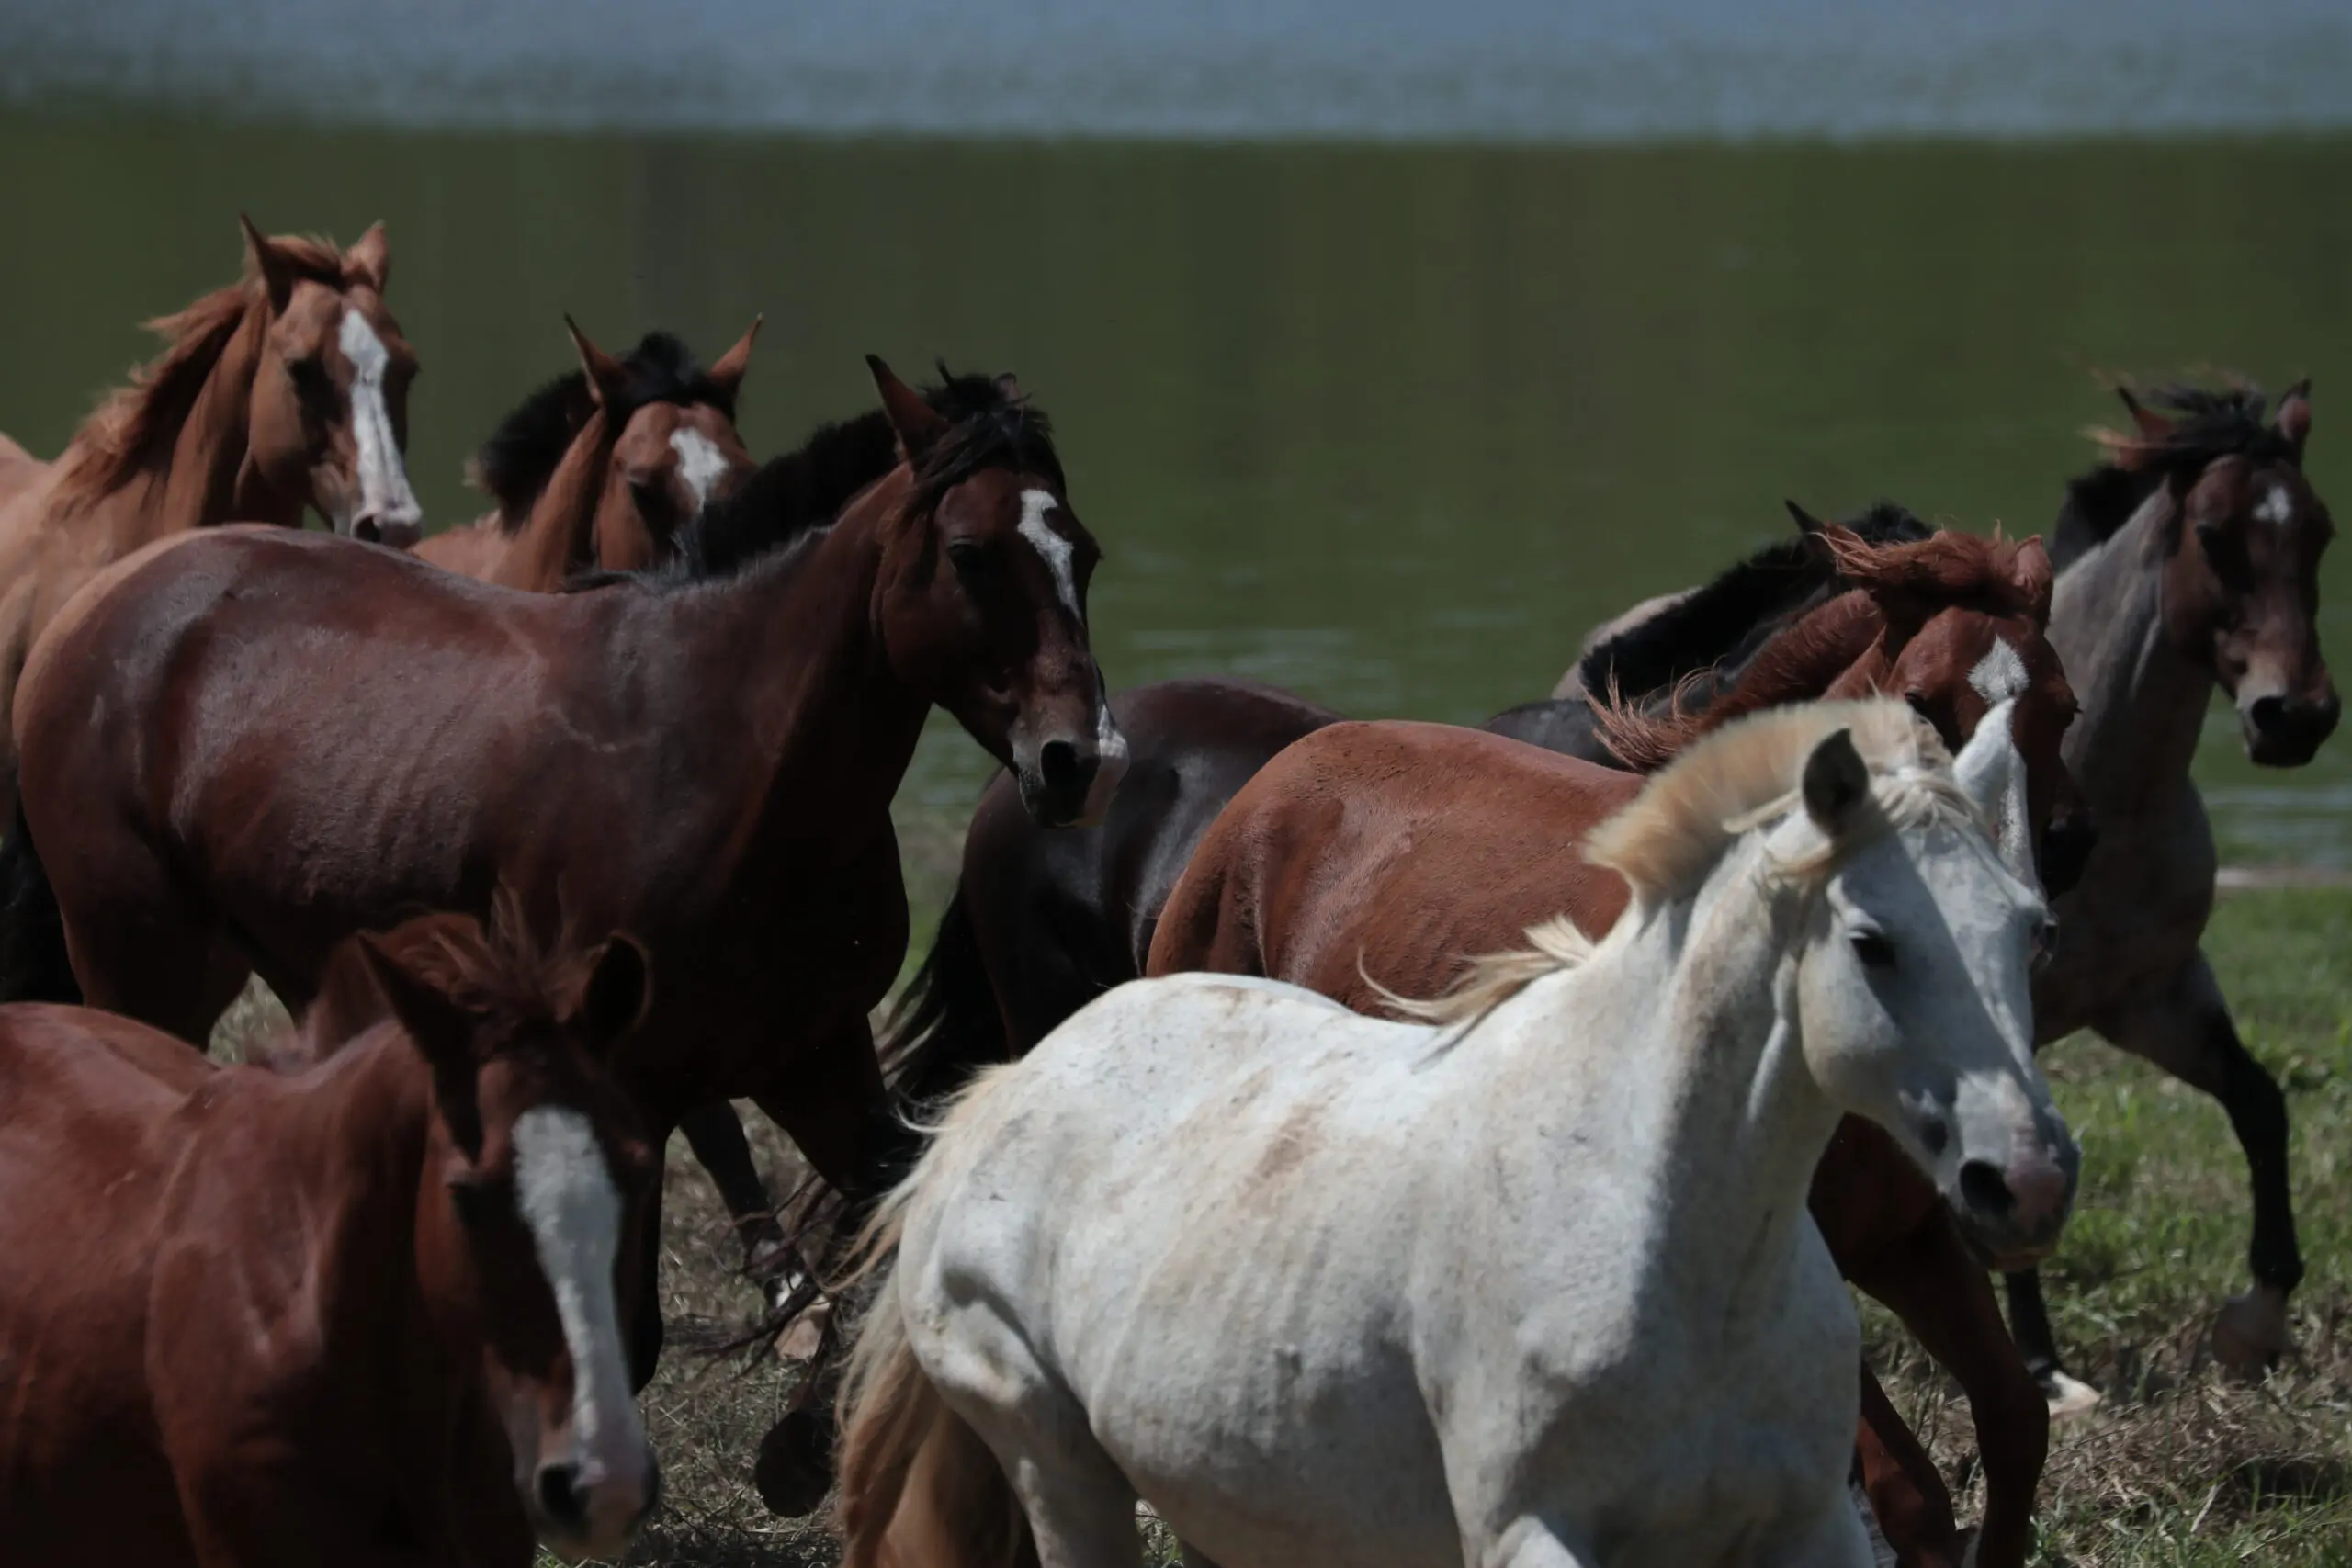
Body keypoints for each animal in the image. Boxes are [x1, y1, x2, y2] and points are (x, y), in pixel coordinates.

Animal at [0, 355, 1128, 1401]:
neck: (723, 756)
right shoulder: (632, 1079)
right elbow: (626, 1342)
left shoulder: (815, 1054)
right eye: (971, 553)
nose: (1077, 757)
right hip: (137, 957)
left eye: (1084, 551)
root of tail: (90, 611)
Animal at [2004, 383, 2333, 1410]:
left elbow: (2261, 1104)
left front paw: (2254, 1324)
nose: (2295, 717)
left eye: (2320, 533)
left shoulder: (2155, 995)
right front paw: (2044, 1377)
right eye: (2214, 533)